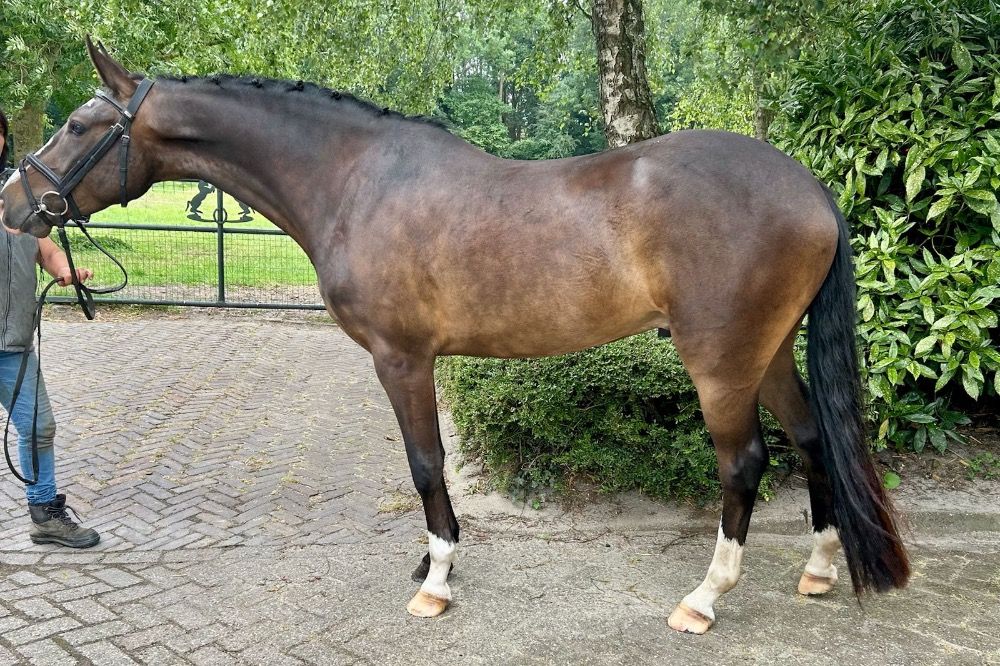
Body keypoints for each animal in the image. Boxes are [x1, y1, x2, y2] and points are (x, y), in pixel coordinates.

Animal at [0, 40, 909, 634]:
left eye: (79, 124)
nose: (13, 204)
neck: (355, 180)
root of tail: (808, 187)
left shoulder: (402, 360)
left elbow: (426, 462)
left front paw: (435, 579)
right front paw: (432, 561)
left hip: (719, 359)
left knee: (744, 462)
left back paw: (703, 599)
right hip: (768, 352)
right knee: (812, 439)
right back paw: (819, 570)